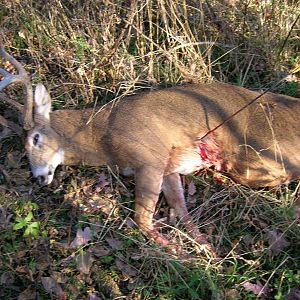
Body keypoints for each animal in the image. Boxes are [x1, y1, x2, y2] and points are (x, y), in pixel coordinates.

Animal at [1, 43, 300, 251]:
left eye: (35, 138)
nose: (39, 177)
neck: (102, 138)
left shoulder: (149, 157)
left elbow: (141, 220)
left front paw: (181, 255)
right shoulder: (167, 167)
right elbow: (182, 211)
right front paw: (208, 251)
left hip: (253, 152)